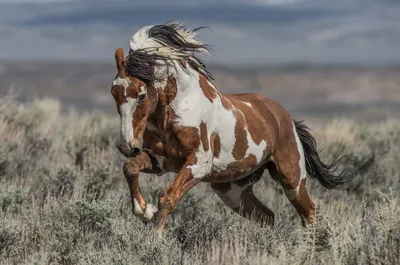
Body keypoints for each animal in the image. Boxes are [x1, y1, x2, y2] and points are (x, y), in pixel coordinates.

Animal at [109, 21, 350, 232]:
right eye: (114, 93)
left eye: (141, 95)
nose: (127, 146)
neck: (176, 110)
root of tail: (285, 118)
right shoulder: (161, 161)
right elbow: (130, 168)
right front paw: (144, 211)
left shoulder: (198, 164)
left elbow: (167, 198)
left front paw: (154, 237)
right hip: (232, 190)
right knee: (266, 216)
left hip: (292, 180)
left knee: (309, 212)